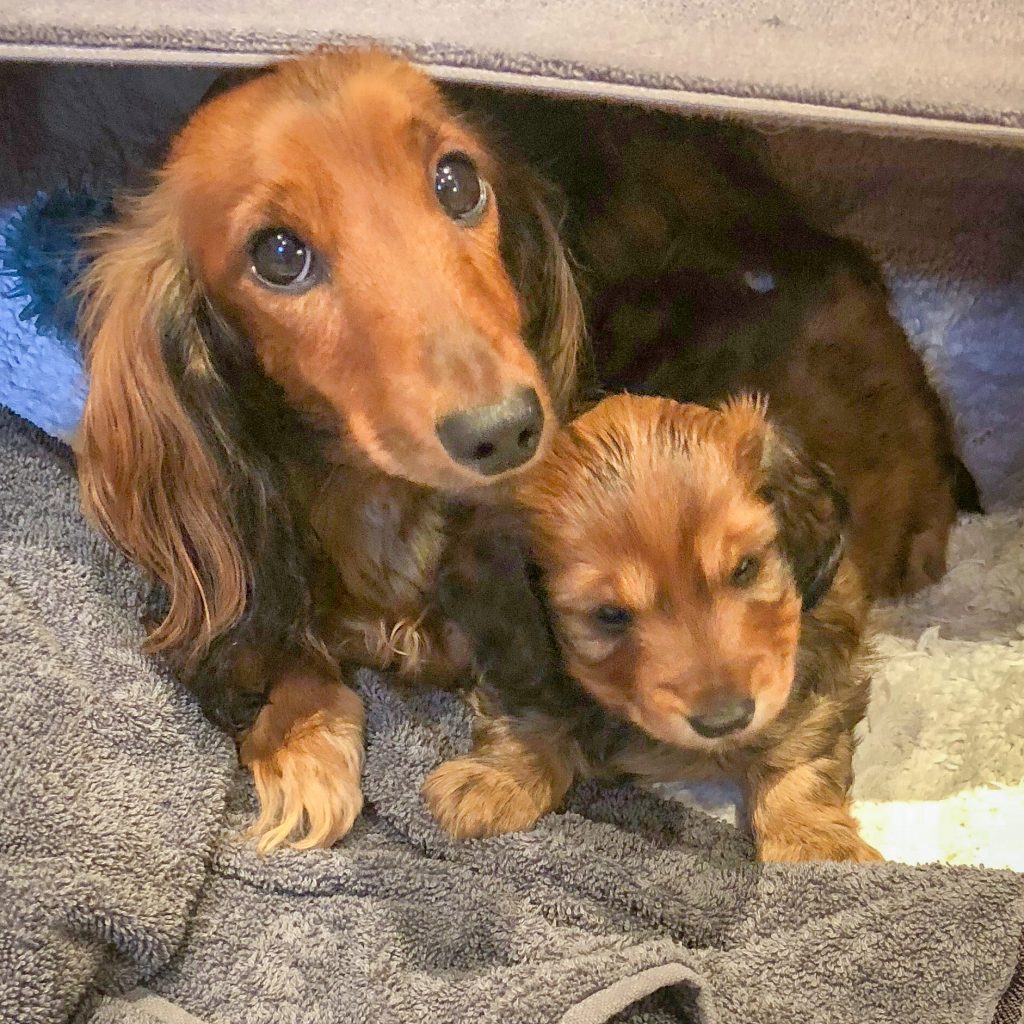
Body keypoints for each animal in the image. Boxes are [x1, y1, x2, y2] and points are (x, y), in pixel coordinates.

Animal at [74, 48, 581, 847]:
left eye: (457, 181)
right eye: (280, 255)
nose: (505, 430)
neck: (378, 498)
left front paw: (507, 772)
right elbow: (290, 647)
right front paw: (304, 747)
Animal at [428, 393, 884, 864]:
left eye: (745, 568)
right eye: (610, 614)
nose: (726, 721)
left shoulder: (825, 646)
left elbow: (800, 740)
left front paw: (813, 839)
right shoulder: (521, 656)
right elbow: (532, 706)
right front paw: (497, 778)